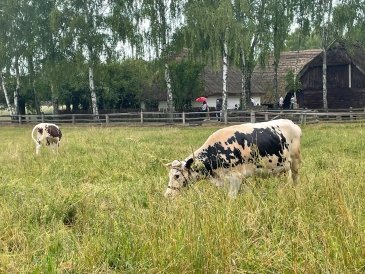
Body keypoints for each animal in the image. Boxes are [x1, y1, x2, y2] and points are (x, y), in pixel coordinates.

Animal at [165, 119, 302, 198]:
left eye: (176, 176)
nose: (167, 195)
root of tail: (292, 123)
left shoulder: (235, 178)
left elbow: (231, 198)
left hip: (295, 162)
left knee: (295, 179)